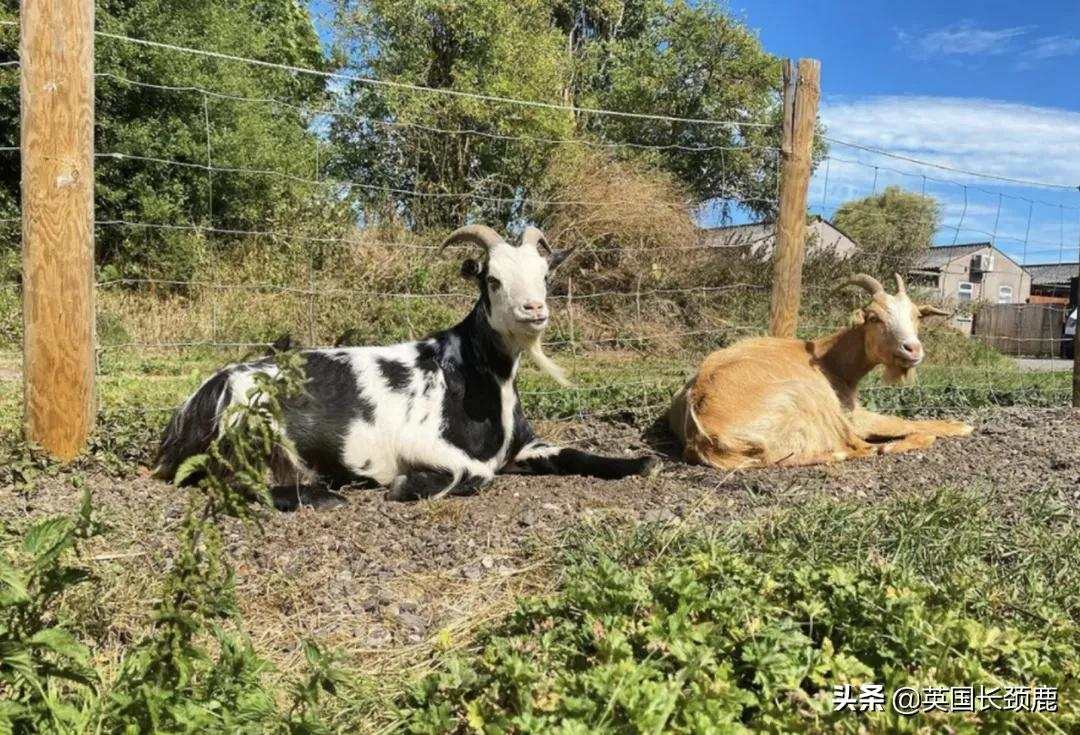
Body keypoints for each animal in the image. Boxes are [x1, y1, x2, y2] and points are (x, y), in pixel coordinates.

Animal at [152, 226, 656, 500]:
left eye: (545, 276)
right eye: (492, 279)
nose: (534, 310)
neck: (471, 372)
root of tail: (194, 403)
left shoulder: (523, 447)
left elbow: (570, 452)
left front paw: (641, 464)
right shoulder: (424, 443)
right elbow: (476, 473)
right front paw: (404, 486)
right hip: (248, 436)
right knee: (234, 482)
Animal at [669, 271, 976, 466]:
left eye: (916, 317)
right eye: (874, 317)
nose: (912, 349)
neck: (830, 360)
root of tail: (708, 432)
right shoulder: (849, 415)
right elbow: (897, 421)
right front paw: (959, 425)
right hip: (810, 401)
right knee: (863, 448)